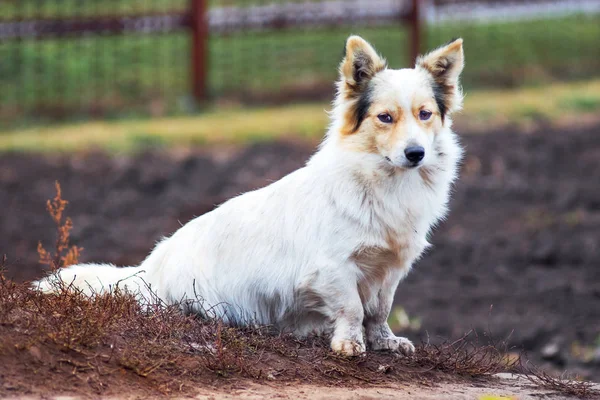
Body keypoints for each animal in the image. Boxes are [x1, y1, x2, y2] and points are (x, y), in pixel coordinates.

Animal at [36, 36, 464, 356]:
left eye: (425, 114)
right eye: (385, 118)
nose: (415, 153)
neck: (386, 182)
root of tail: (147, 270)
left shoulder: (390, 271)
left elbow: (379, 310)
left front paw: (385, 342)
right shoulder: (333, 268)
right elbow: (352, 308)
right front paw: (348, 343)